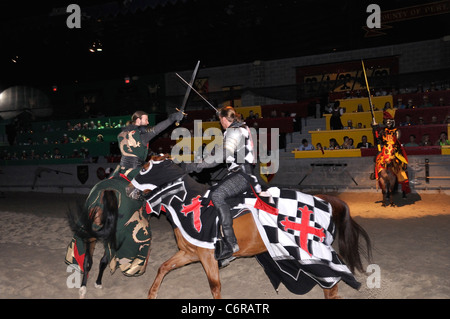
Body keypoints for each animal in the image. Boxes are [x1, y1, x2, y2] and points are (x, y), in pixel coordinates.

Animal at [128, 157, 370, 300]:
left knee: (332, 280)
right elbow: (164, 267)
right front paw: (152, 294)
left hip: (311, 252)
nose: (129, 188)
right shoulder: (189, 253)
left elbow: (215, 286)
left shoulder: (207, 257)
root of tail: (322, 199)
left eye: (146, 167)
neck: (187, 204)